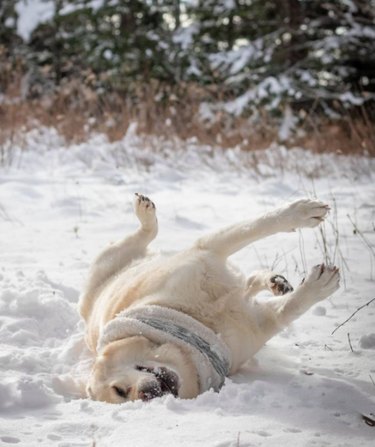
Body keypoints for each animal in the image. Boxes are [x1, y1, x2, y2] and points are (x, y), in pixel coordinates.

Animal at [80, 194, 340, 404]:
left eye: (118, 389)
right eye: (122, 395)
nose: (145, 396)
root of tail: (86, 311)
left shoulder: (206, 250)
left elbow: (258, 224)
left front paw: (303, 211)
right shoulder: (258, 326)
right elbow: (290, 308)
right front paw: (319, 286)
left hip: (107, 262)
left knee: (145, 234)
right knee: (248, 286)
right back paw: (274, 283)